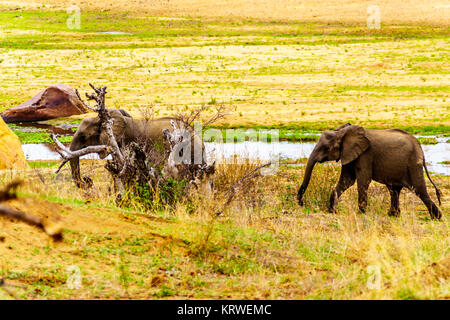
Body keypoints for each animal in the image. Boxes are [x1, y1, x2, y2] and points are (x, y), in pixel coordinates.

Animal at [298, 124, 442, 219]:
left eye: (326, 148)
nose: (301, 203)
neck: (342, 132)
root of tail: (420, 147)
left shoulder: (365, 155)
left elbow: (363, 179)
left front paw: (361, 213)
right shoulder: (349, 154)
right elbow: (346, 180)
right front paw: (332, 211)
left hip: (412, 164)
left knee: (419, 189)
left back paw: (437, 217)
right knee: (394, 190)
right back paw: (393, 215)